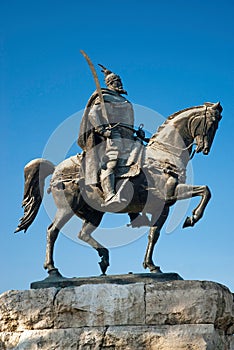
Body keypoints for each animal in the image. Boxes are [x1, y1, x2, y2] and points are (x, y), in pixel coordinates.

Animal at [15, 101, 222, 276]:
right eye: (212, 123)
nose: (205, 149)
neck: (165, 153)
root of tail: (56, 168)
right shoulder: (171, 194)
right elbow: (206, 190)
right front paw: (192, 218)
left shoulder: (163, 206)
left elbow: (154, 235)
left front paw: (151, 265)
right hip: (67, 208)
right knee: (52, 232)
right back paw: (52, 269)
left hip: (94, 213)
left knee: (83, 234)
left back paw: (104, 258)